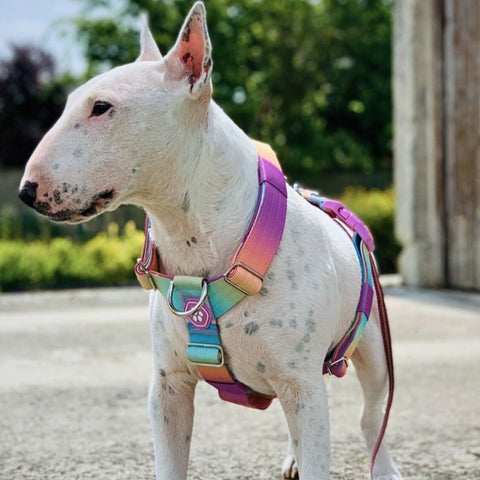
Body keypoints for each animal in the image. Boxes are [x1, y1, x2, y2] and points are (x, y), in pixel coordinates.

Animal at [18, 1, 402, 478]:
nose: (25, 192)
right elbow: (170, 459)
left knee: (372, 415)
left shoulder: (303, 385)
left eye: (101, 107)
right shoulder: (168, 388)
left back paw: (382, 466)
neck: (196, 242)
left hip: (374, 348)